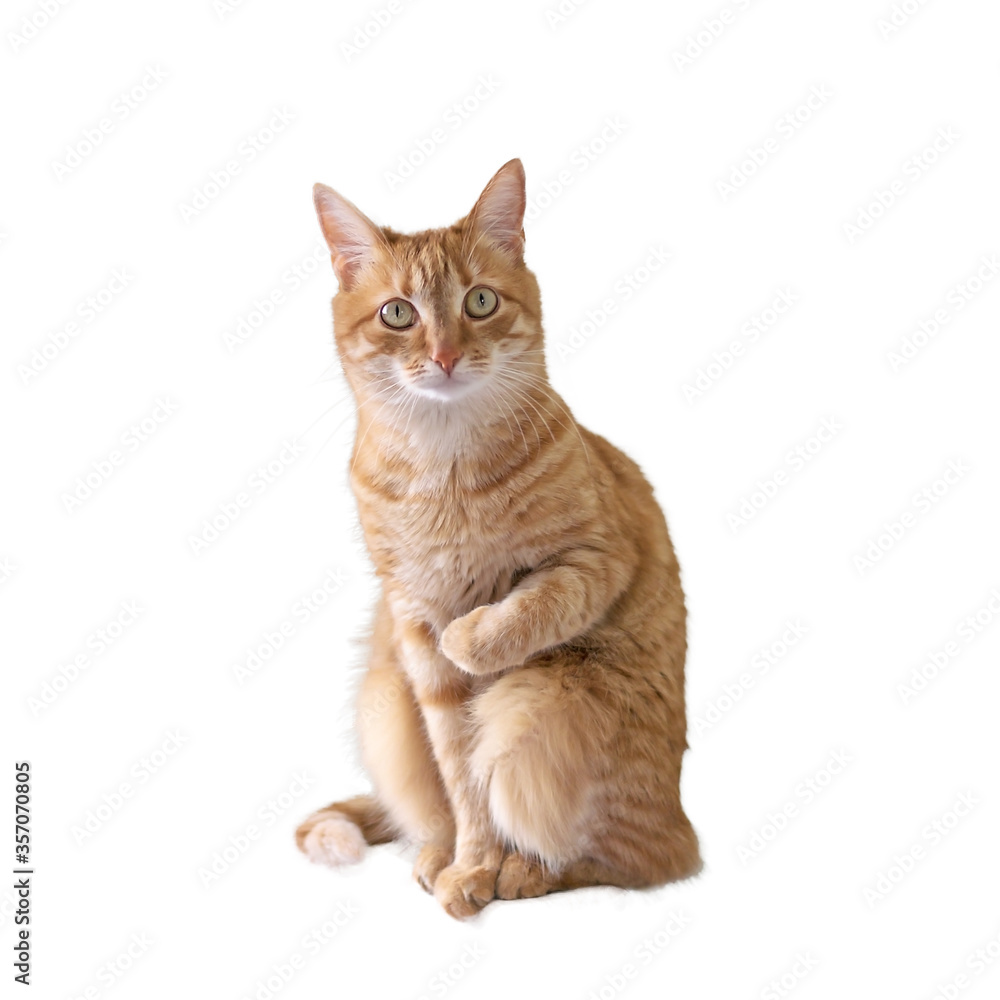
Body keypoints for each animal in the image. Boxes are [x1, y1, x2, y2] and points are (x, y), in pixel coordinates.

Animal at [295, 159, 701, 919]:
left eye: (479, 302)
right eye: (399, 313)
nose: (446, 356)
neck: (444, 468)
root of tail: (681, 820)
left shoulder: (596, 559)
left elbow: (526, 609)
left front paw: (474, 634)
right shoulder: (413, 633)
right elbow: (462, 779)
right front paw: (470, 863)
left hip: (539, 703)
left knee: (634, 860)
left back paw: (527, 871)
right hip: (386, 700)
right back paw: (440, 854)